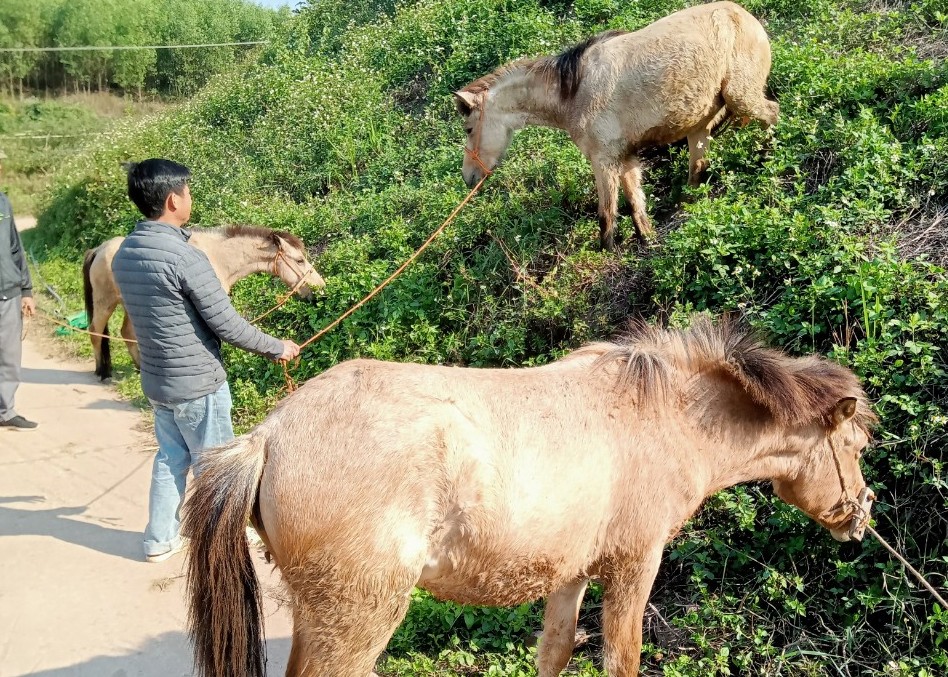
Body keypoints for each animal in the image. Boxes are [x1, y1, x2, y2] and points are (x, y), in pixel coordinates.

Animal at [82, 224, 326, 378]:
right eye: (299, 260)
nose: (321, 288)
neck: (217, 257)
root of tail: (99, 249)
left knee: (126, 334)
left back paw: (139, 368)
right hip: (105, 302)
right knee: (95, 332)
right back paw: (102, 371)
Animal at [183, 316, 872, 676]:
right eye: (858, 444)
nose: (861, 517)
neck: (665, 416)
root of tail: (268, 436)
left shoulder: (571, 573)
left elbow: (555, 650)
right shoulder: (634, 567)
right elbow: (622, 657)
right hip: (356, 618)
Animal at [458, 1, 776, 250]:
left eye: (468, 129)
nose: (468, 178)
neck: (573, 91)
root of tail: (745, 16)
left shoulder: (603, 160)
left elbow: (606, 213)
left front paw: (608, 252)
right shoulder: (625, 157)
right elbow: (635, 203)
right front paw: (648, 240)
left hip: (742, 97)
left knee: (772, 116)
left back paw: (770, 161)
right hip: (701, 124)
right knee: (699, 167)